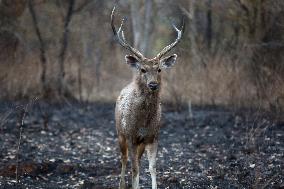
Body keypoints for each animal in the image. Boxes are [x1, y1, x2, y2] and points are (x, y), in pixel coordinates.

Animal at [112, 5, 185, 189]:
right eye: (143, 69)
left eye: (159, 69)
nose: (153, 84)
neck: (143, 122)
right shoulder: (131, 136)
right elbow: (134, 169)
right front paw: (132, 184)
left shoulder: (153, 137)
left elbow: (152, 168)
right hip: (120, 132)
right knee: (124, 159)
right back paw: (122, 184)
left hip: (141, 143)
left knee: (135, 160)